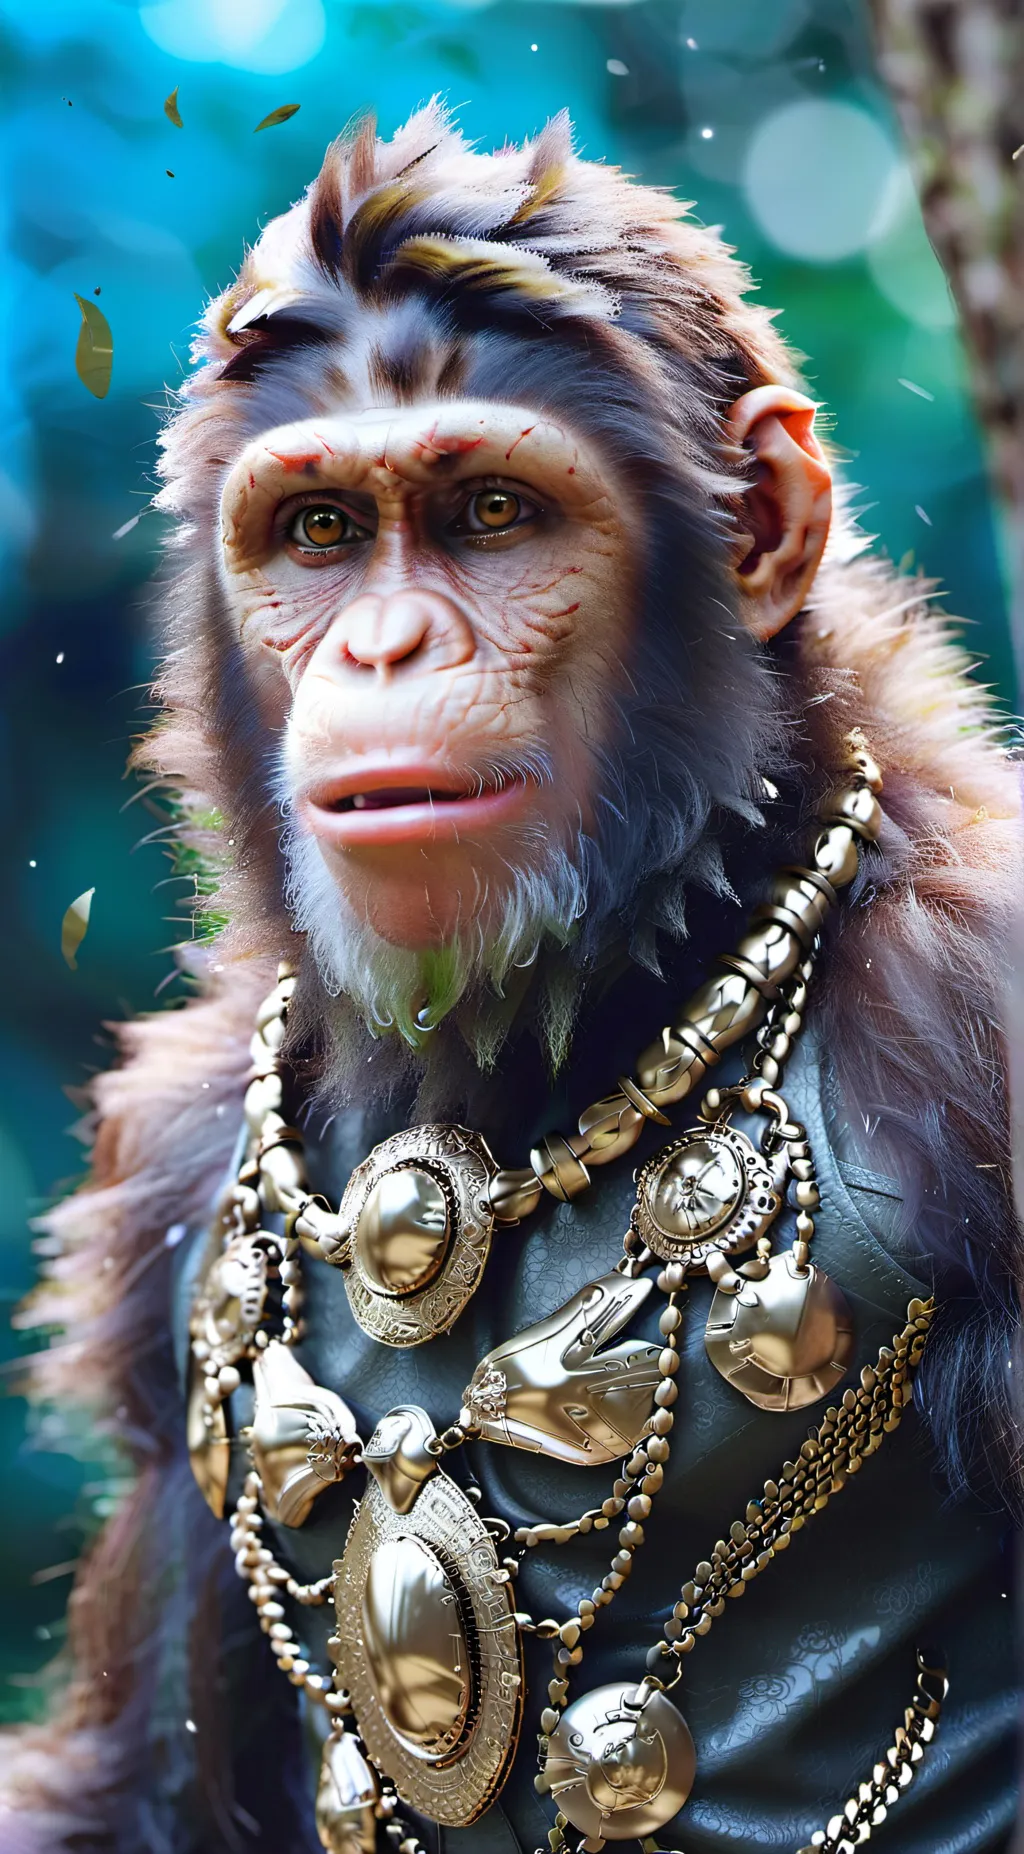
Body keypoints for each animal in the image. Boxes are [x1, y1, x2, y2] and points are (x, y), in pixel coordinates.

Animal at [4, 104, 1020, 1854]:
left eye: (491, 514)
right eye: (322, 533)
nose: (384, 647)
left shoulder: (981, 1022)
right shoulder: (170, 1187)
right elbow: (141, 1775)